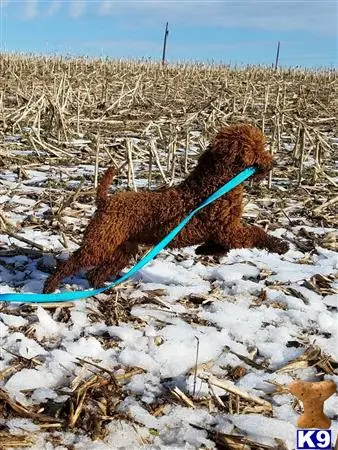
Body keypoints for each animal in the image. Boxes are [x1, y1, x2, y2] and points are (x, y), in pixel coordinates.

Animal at [43, 123, 288, 294]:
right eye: (257, 148)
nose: (274, 163)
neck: (215, 185)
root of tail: (105, 201)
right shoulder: (228, 230)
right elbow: (256, 233)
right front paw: (280, 245)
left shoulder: (224, 232)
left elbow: (221, 246)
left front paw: (204, 250)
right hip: (100, 243)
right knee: (73, 263)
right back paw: (50, 286)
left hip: (122, 248)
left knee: (98, 272)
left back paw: (102, 288)